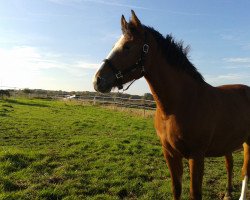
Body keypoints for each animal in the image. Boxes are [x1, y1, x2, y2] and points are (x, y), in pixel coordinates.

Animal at [92, 10, 250, 199]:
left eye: (127, 46)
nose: (97, 80)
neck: (178, 105)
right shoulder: (170, 153)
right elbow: (176, 188)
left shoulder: (196, 156)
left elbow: (195, 192)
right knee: (230, 164)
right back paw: (227, 193)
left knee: (245, 172)